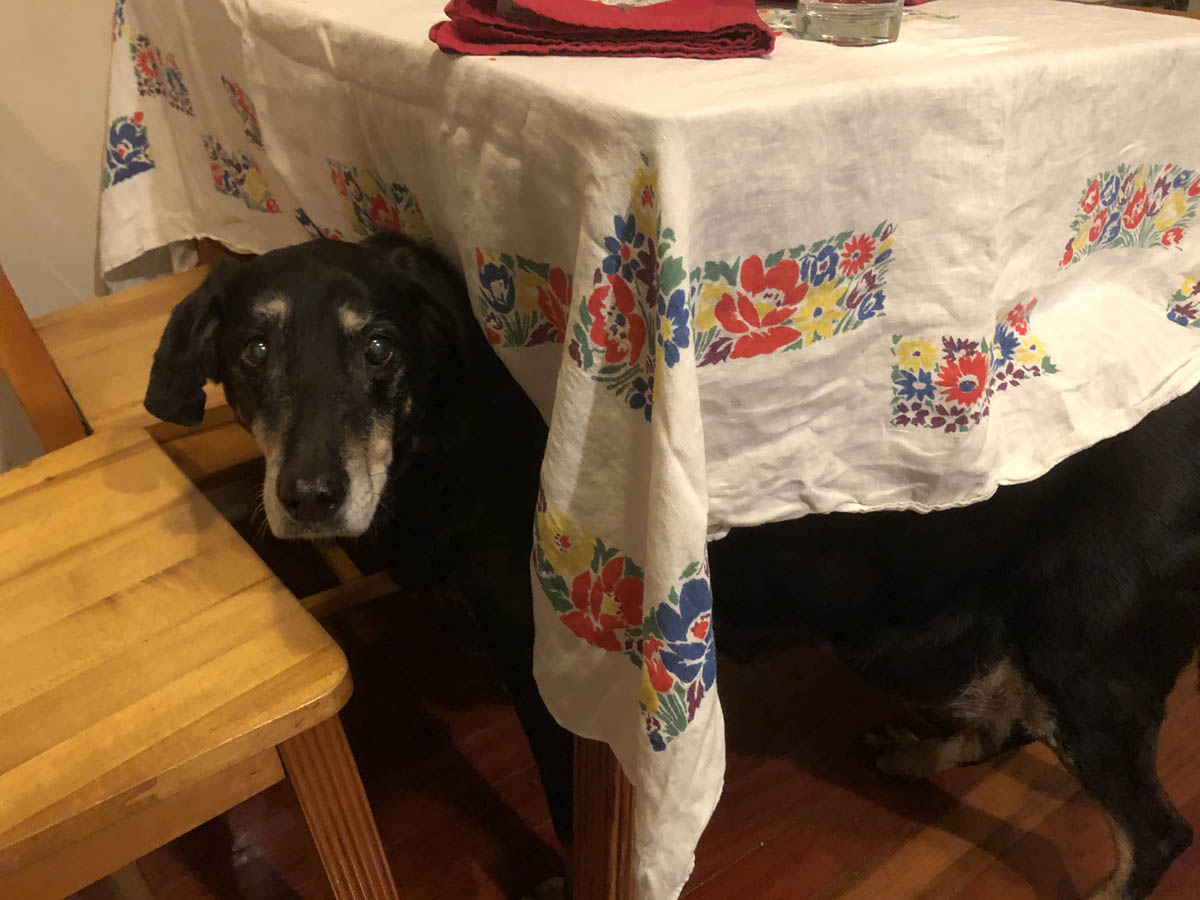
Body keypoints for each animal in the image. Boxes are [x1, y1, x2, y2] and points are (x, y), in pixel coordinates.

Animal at [150, 236, 1200, 897]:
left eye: (377, 346)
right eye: (253, 349)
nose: (310, 496)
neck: (445, 425)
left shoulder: (554, 671)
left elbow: (572, 814)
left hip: (1086, 661)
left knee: (1153, 831)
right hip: (931, 629)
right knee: (1009, 720)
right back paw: (921, 751)